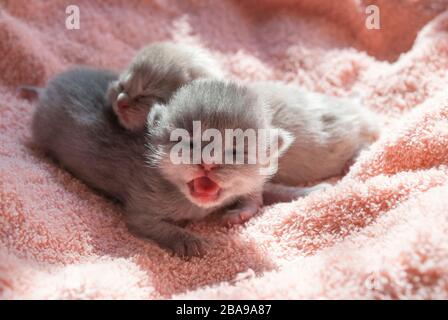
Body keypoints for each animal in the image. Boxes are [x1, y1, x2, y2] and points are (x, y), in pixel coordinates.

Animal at [30, 68, 290, 258]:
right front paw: (188, 241)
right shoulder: (142, 203)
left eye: (235, 151)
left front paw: (243, 211)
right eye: (188, 143)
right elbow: (153, 225)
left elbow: (257, 191)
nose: (208, 163)